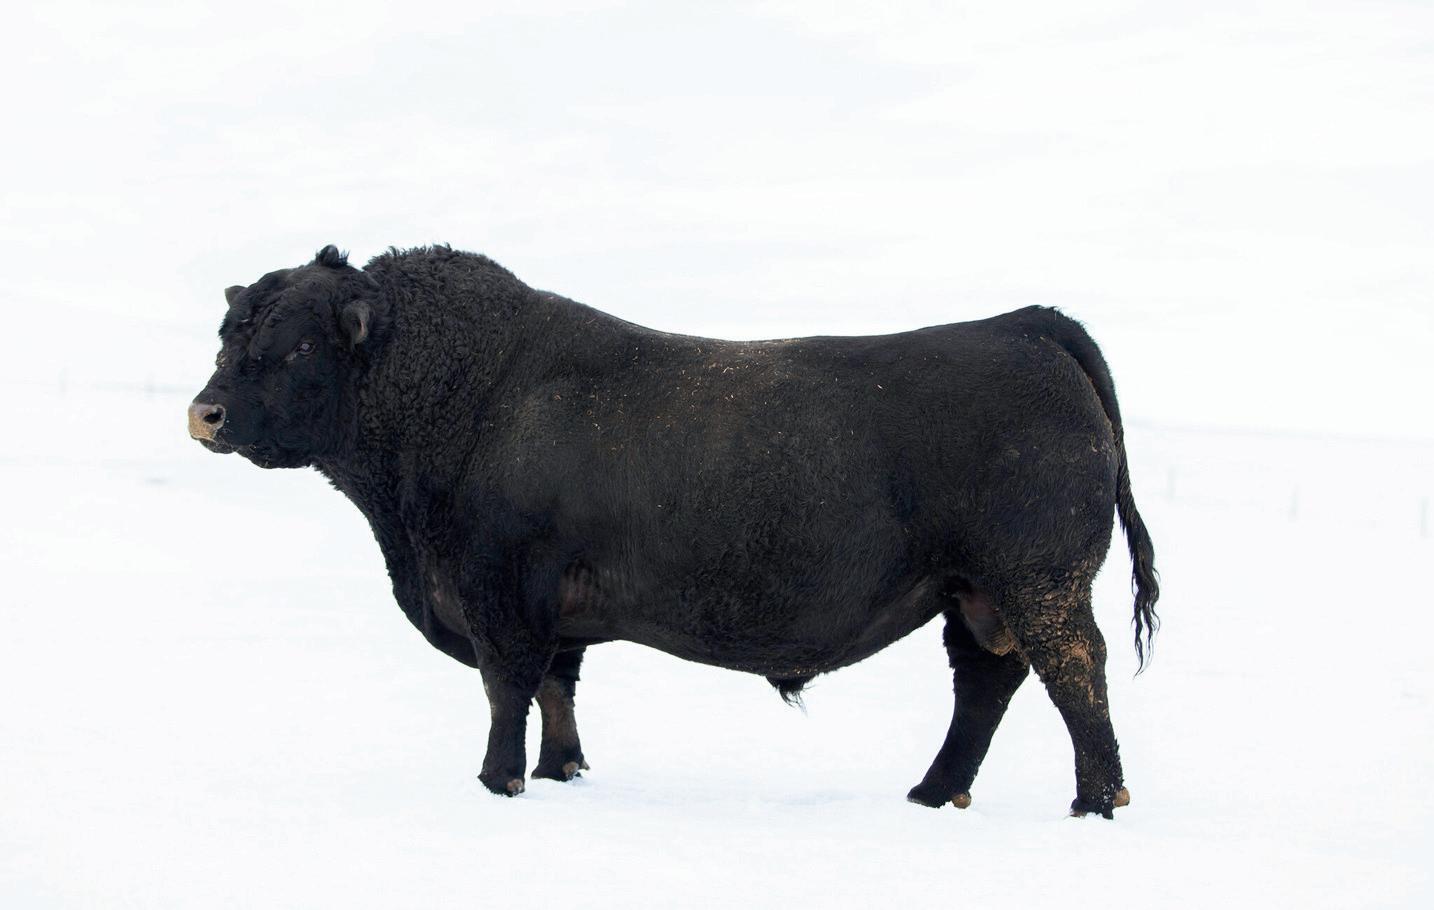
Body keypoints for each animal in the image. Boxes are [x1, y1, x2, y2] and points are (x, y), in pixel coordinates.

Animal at [189, 244, 1159, 818]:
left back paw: (1096, 801)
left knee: (1077, 676)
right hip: (975, 595)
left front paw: (499, 781)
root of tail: (1026, 327)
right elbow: (558, 690)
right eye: (229, 332)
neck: (466, 390)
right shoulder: (554, 614)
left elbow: (508, 689)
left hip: (1040, 586)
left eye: (298, 344)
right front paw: (562, 770)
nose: (205, 413)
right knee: (986, 685)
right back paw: (933, 793)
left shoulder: (499, 597)